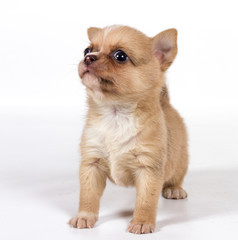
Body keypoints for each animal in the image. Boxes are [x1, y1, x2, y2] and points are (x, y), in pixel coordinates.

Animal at [69, 25, 188, 233]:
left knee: (176, 176)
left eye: (120, 56)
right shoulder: (92, 164)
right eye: (87, 50)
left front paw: (142, 222)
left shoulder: (148, 168)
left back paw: (174, 189)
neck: (116, 115)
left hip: (180, 161)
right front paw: (84, 216)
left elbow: (146, 200)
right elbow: (87, 195)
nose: (89, 57)